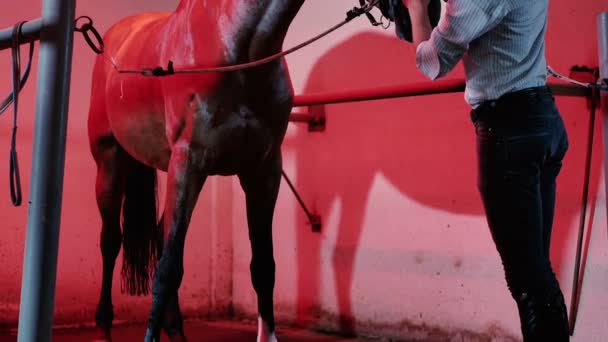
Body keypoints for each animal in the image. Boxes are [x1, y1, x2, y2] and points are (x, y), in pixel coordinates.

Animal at [86, 1, 304, 340]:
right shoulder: (189, 161)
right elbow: (167, 268)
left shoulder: (264, 171)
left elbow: (263, 266)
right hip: (110, 164)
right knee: (111, 241)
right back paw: (104, 328)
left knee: (160, 234)